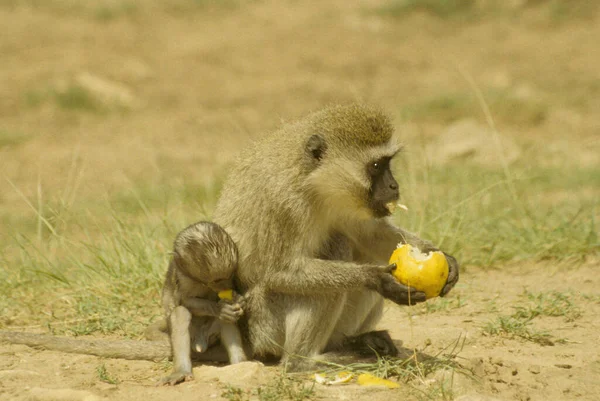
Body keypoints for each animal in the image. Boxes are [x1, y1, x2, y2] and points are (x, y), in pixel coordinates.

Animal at [159, 220, 248, 382]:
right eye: (216, 280)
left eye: (229, 275)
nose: (225, 287)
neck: (200, 283)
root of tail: (200, 342)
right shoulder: (182, 277)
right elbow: (184, 301)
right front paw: (219, 308)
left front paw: (239, 300)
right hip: (193, 335)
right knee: (180, 314)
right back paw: (182, 371)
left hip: (212, 334)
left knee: (226, 321)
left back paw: (240, 363)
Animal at [213, 102, 462, 368]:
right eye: (376, 166)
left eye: (388, 163)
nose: (394, 186)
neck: (313, 184)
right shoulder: (282, 203)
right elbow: (277, 272)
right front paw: (375, 278)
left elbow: (370, 233)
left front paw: (444, 258)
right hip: (265, 325)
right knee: (335, 250)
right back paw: (306, 361)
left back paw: (357, 342)